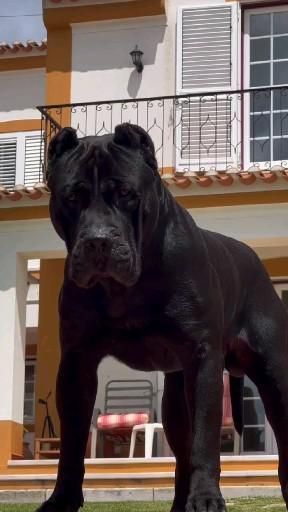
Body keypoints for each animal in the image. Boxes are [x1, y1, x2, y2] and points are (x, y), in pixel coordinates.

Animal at [37, 124, 288, 512]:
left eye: (126, 193)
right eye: (72, 197)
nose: (98, 241)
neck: (126, 288)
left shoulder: (203, 360)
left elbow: (205, 440)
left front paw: (207, 498)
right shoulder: (76, 364)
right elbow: (72, 443)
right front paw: (61, 499)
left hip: (275, 375)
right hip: (174, 396)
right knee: (181, 452)